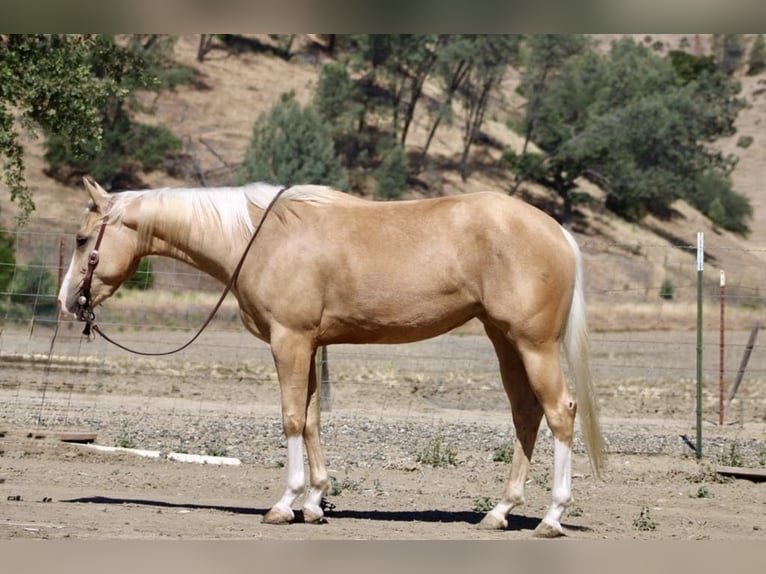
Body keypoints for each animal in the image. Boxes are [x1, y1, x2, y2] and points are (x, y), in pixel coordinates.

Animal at [58, 176, 605, 537]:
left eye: (83, 240)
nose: (68, 302)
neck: (260, 237)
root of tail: (556, 231)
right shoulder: (311, 345)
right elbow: (313, 420)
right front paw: (315, 502)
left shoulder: (290, 341)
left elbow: (290, 419)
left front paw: (284, 504)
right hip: (503, 340)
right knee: (526, 415)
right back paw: (498, 512)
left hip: (533, 344)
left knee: (560, 412)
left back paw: (552, 517)